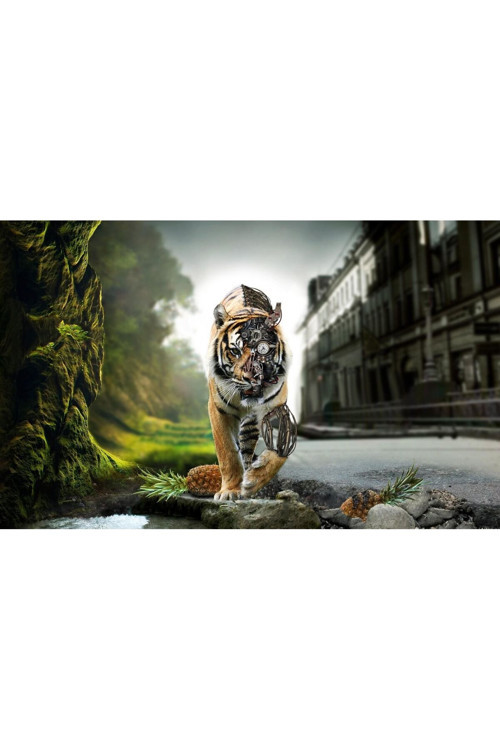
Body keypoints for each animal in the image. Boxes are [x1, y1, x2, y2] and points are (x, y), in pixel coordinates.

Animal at [207, 284, 297, 502]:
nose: (253, 377)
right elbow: (227, 453)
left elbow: (279, 452)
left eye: (264, 350)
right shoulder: (218, 410)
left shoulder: (277, 410)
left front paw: (253, 481)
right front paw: (230, 490)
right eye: (235, 351)